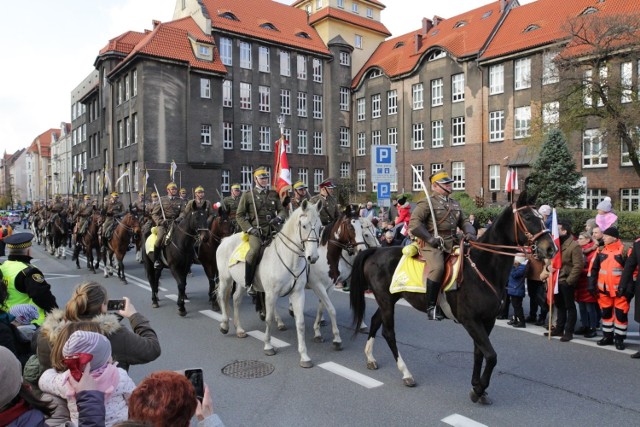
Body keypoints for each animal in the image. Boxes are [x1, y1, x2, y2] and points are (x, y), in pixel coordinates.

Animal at [218, 200, 322, 368]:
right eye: (304, 226)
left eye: (320, 226)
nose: (313, 257)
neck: (289, 258)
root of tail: (225, 240)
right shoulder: (271, 294)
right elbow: (268, 319)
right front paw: (268, 346)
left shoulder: (298, 293)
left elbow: (300, 323)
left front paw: (304, 356)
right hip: (225, 279)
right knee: (222, 297)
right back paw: (224, 325)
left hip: (241, 282)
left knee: (236, 299)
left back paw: (239, 329)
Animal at [350, 187, 556, 404]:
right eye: (527, 217)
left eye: (541, 217)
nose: (551, 248)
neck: (482, 267)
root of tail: (375, 251)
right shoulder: (470, 320)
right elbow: (491, 355)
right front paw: (479, 388)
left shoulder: (487, 320)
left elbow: (479, 353)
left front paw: (477, 387)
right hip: (386, 301)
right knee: (388, 333)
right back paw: (406, 374)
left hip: (389, 300)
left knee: (375, 321)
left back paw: (370, 358)